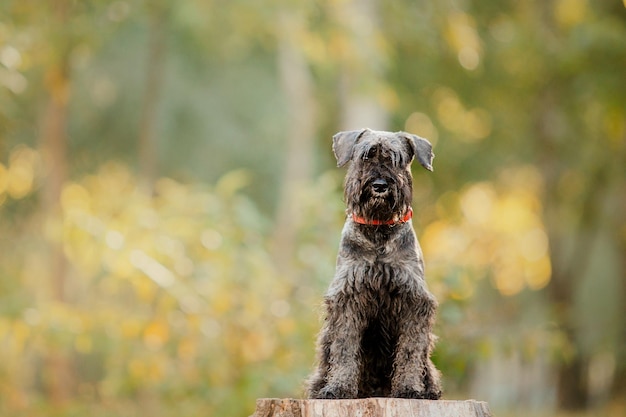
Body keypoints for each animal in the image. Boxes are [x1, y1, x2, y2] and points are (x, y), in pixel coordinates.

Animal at [306, 127, 442, 400]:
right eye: (365, 156)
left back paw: (429, 389)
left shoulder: (415, 301)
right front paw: (338, 387)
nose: (380, 185)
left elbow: (410, 350)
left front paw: (409, 388)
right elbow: (344, 348)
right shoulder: (348, 297)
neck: (378, 230)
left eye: (398, 160)